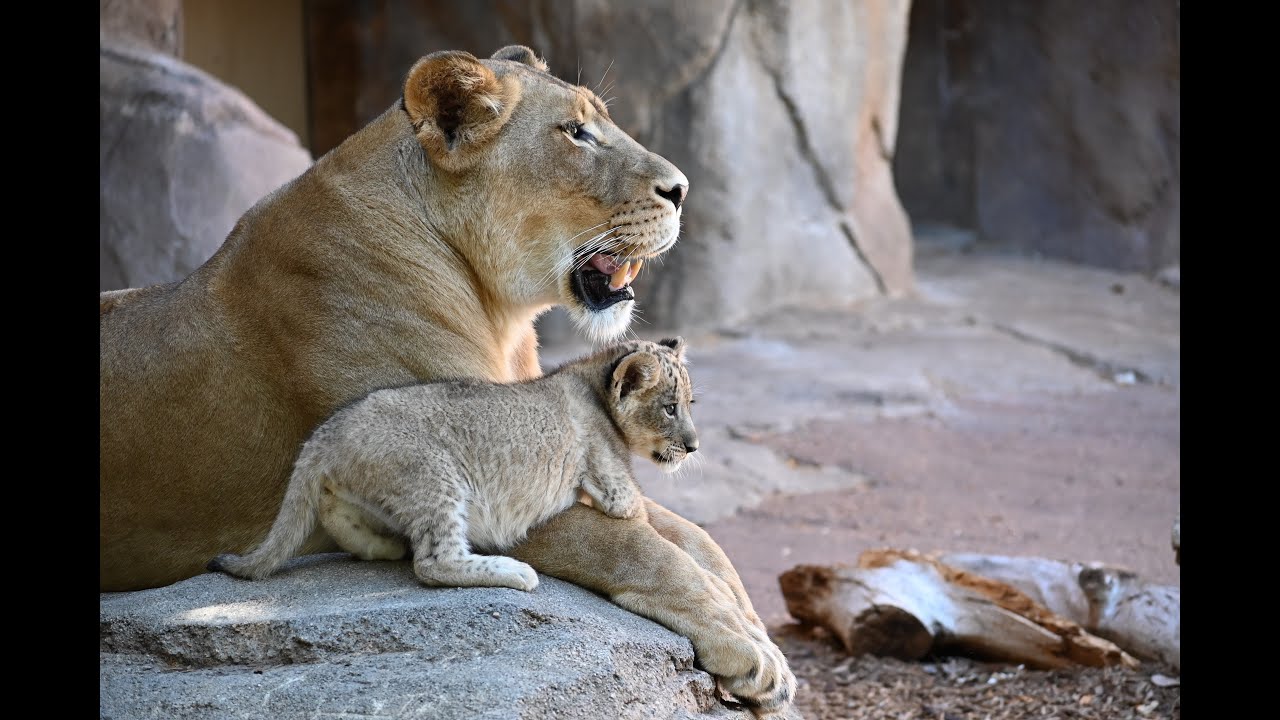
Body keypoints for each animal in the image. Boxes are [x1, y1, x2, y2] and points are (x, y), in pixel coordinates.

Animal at [100, 45, 794, 712]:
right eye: (577, 133)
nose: (682, 189)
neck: (496, 311)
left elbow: (692, 537)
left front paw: (754, 626)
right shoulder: (504, 486)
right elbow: (640, 549)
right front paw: (747, 649)